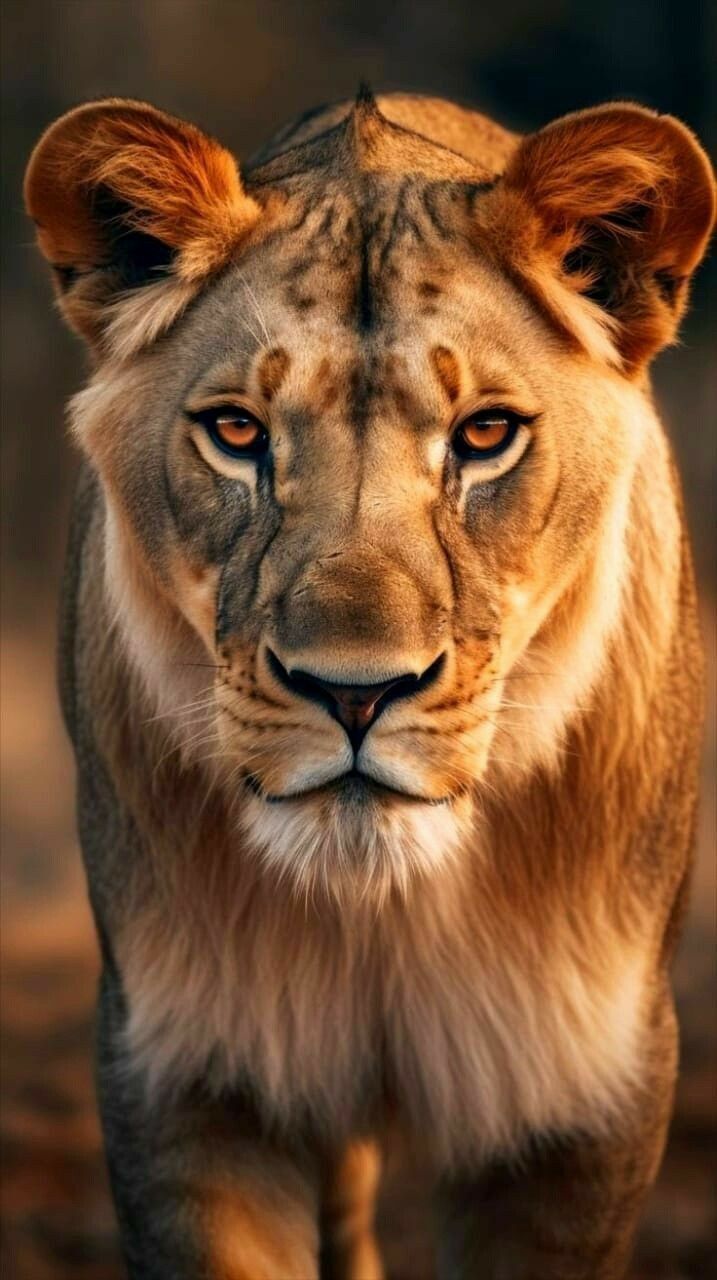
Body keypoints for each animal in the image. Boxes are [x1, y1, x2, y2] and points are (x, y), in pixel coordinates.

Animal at [25, 85, 711, 1274]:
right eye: (236, 431)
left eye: (485, 434)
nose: (354, 692)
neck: (378, 907)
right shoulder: (189, 1078)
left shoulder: (582, 1103)